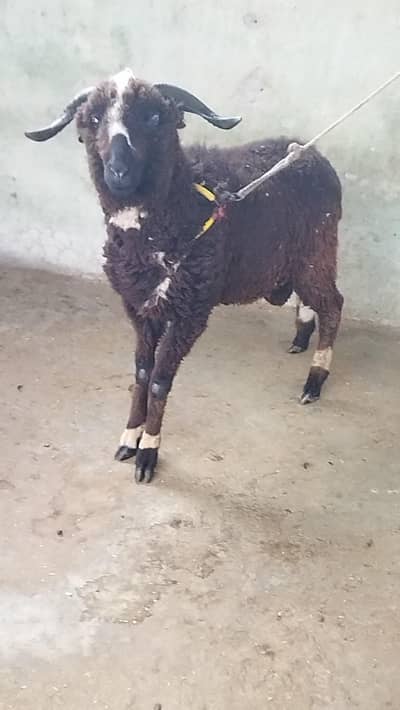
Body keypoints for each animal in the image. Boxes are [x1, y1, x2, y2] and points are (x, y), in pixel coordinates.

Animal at [25, 67, 343, 483]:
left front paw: (148, 453)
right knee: (307, 299)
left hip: (316, 250)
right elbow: (142, 372)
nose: (118, 172)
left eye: (153, 117)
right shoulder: (140, 307)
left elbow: (160, 380)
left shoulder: (189, 311)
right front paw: (129, 436)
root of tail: (311, 153)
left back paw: (314, 380)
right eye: (92, 120)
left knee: (333, 304)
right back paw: (301, 338)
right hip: (288, 260)